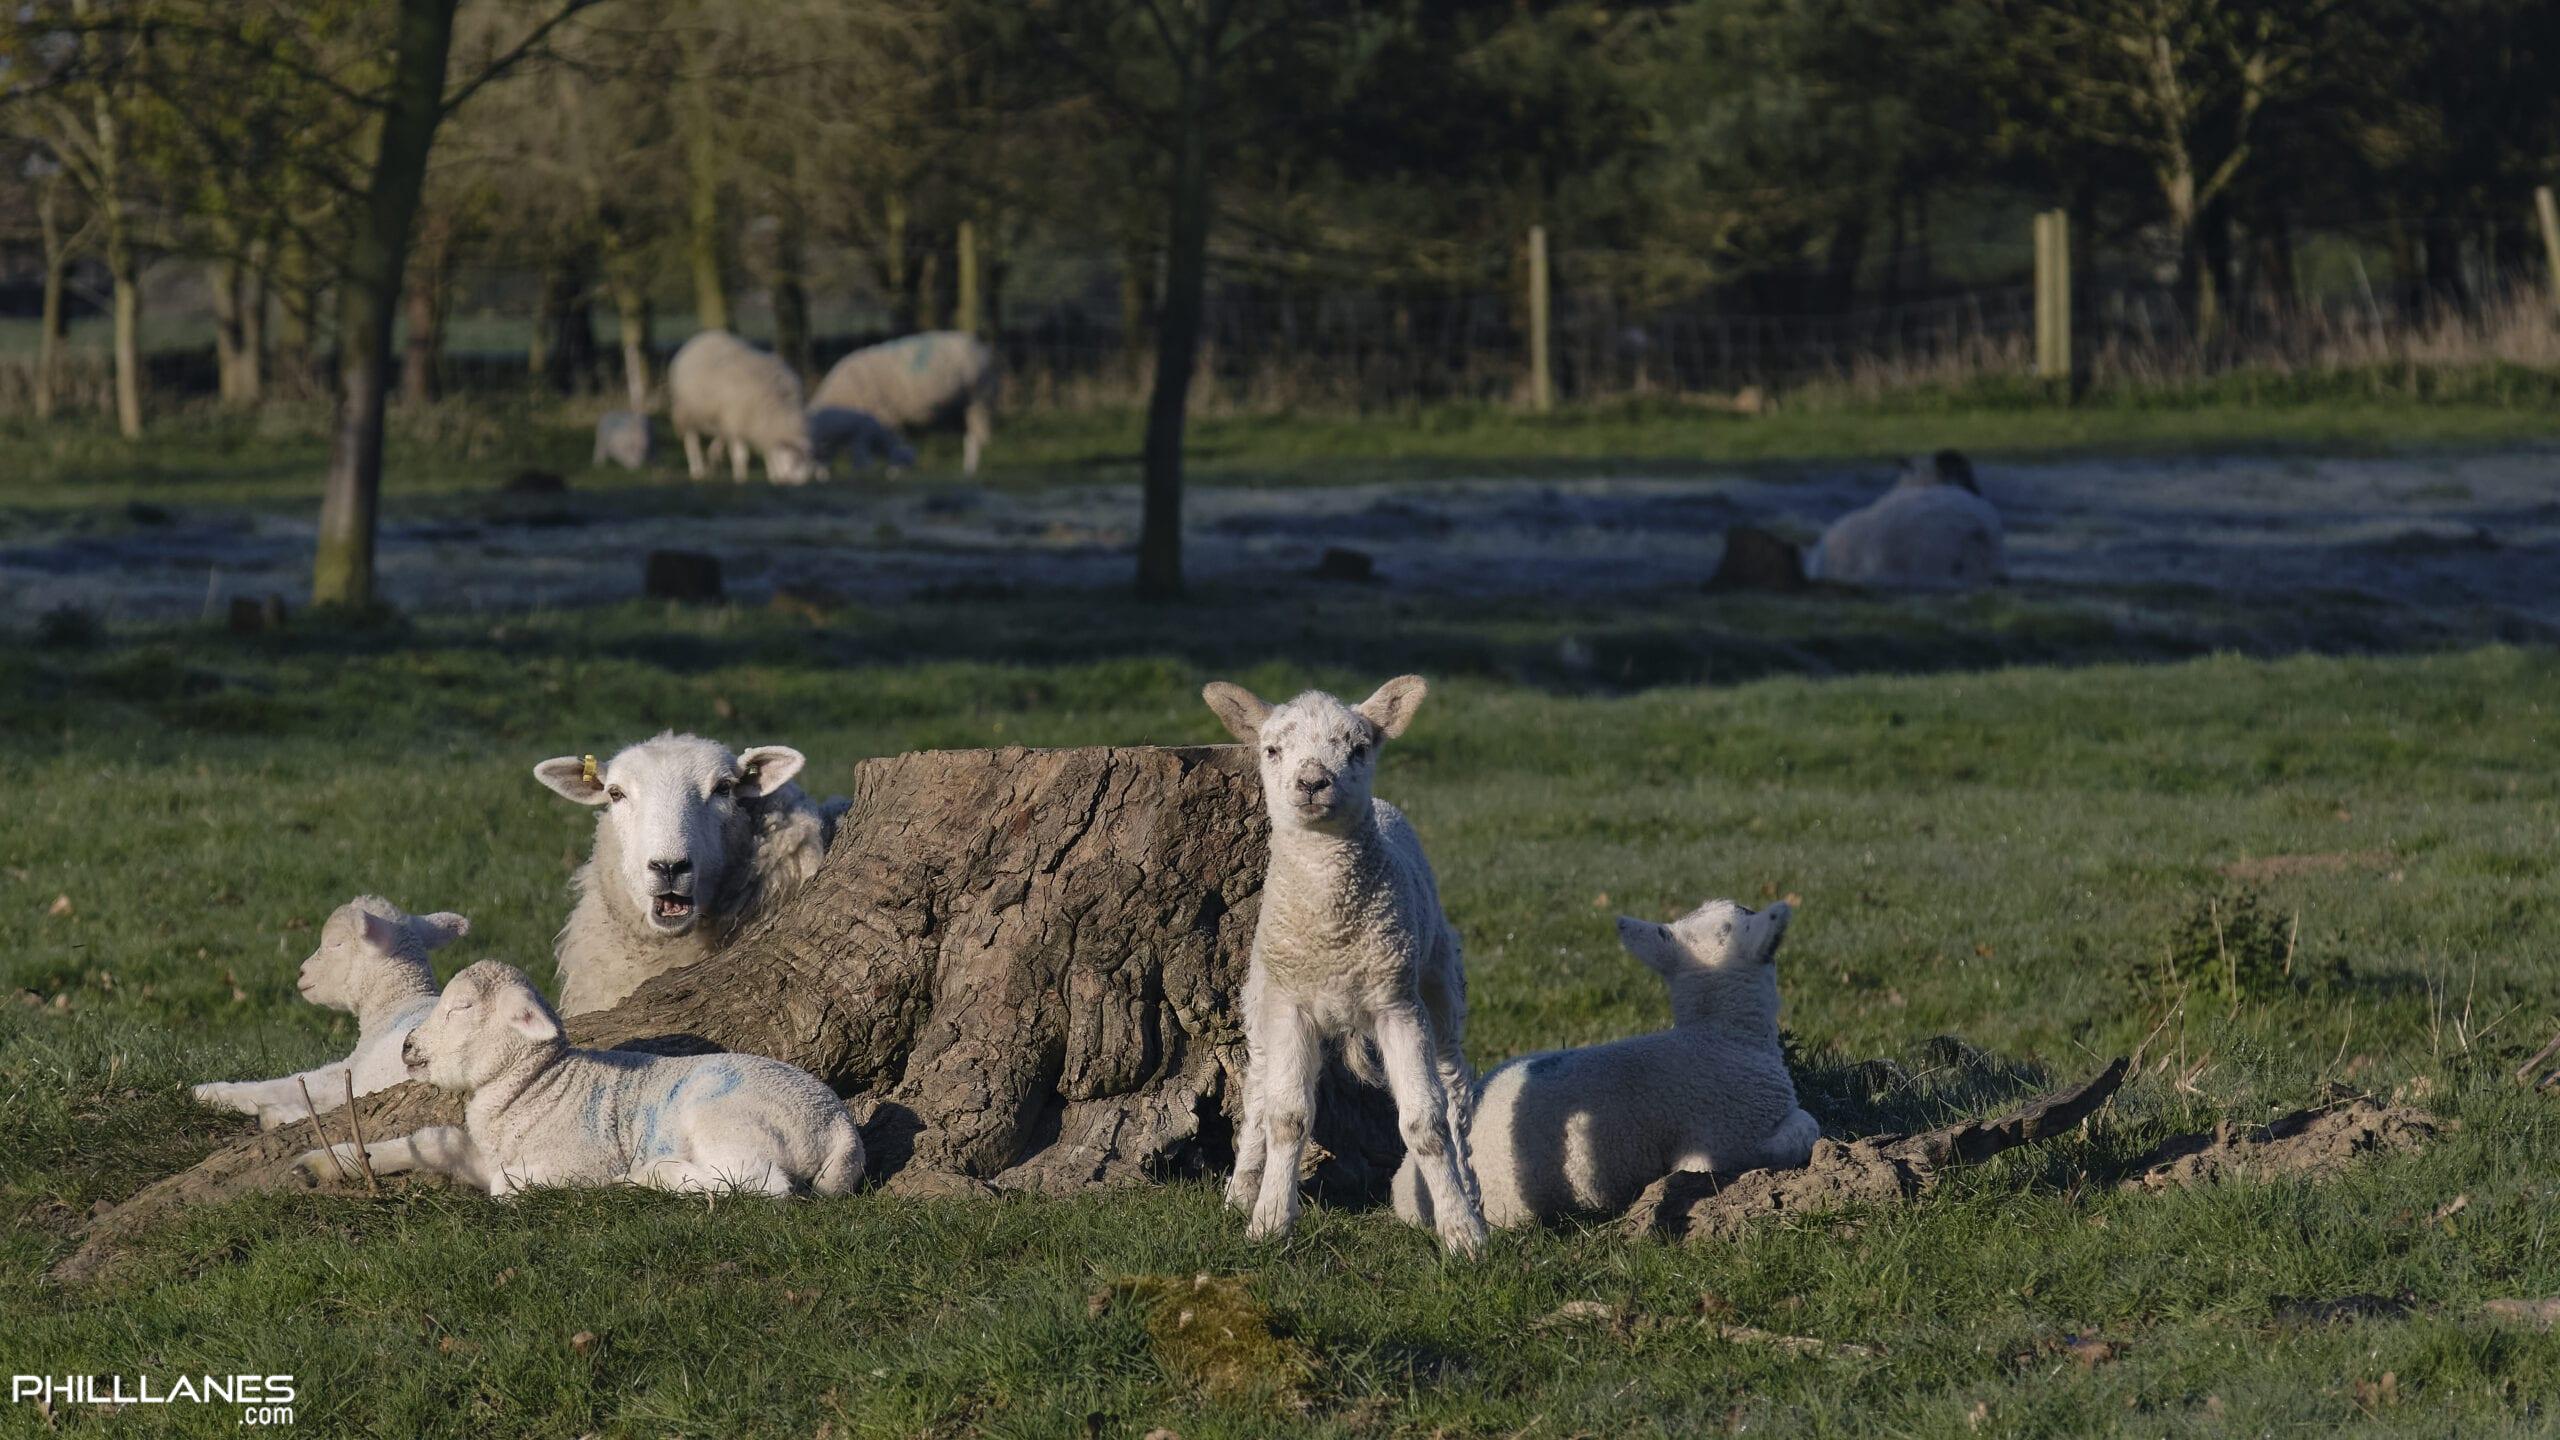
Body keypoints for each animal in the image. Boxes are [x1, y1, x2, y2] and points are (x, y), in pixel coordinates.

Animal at [191, 896, 470, 1129]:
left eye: (337, 943)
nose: (301, 973)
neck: (396, 1003)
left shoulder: (348, 1071)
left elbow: (285, 1084)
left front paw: (208, 1092)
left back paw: (274, 1116)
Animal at [295, 960, 863, 1197]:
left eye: (462, 1007)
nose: (408, 1047)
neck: (536, 1088)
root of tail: (840, 1128)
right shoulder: (480, 1149)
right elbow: (431, 1141)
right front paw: (321, 1164)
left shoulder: (579, 1156)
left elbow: (506, 1185)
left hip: (726, 1118)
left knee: (764, 1184)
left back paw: (656, 1175)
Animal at [667, 330, 819, 485]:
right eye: (794, 461)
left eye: (806, 465)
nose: (795, 482)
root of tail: (703, 337)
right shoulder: (737, 422)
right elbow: (741, 455)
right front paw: (741, 477)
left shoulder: (760, 427)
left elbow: (768, 454)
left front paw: (772, 476)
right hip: (687, 412)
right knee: (692, 442)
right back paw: (697, 470)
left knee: (716, 438)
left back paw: (713, 458)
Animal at [807, 331, 997, 476]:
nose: (819, 474)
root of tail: (984, 349)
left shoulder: (885, 415)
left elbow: (892, 443)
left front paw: (893, 469)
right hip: (960, 405)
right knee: (969, 437)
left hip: (979, 398)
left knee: (977, 435)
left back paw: (974, 464)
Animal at [1202, 675, 1487, 1257]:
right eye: (1272, 749)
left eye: (1358, 748)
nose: (1313, 781)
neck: (1333, 933)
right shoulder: (1289, 1004)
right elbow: (1286, 1118)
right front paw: (1269, 1221)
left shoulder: (1397, 1004)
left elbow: (1425, 1123)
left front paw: (1460, 1232)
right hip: (1260, 995)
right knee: (1257, 1091)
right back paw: (1241, 1190)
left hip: (1438, 982)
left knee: (1454, 1092)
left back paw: (1470, 1194)